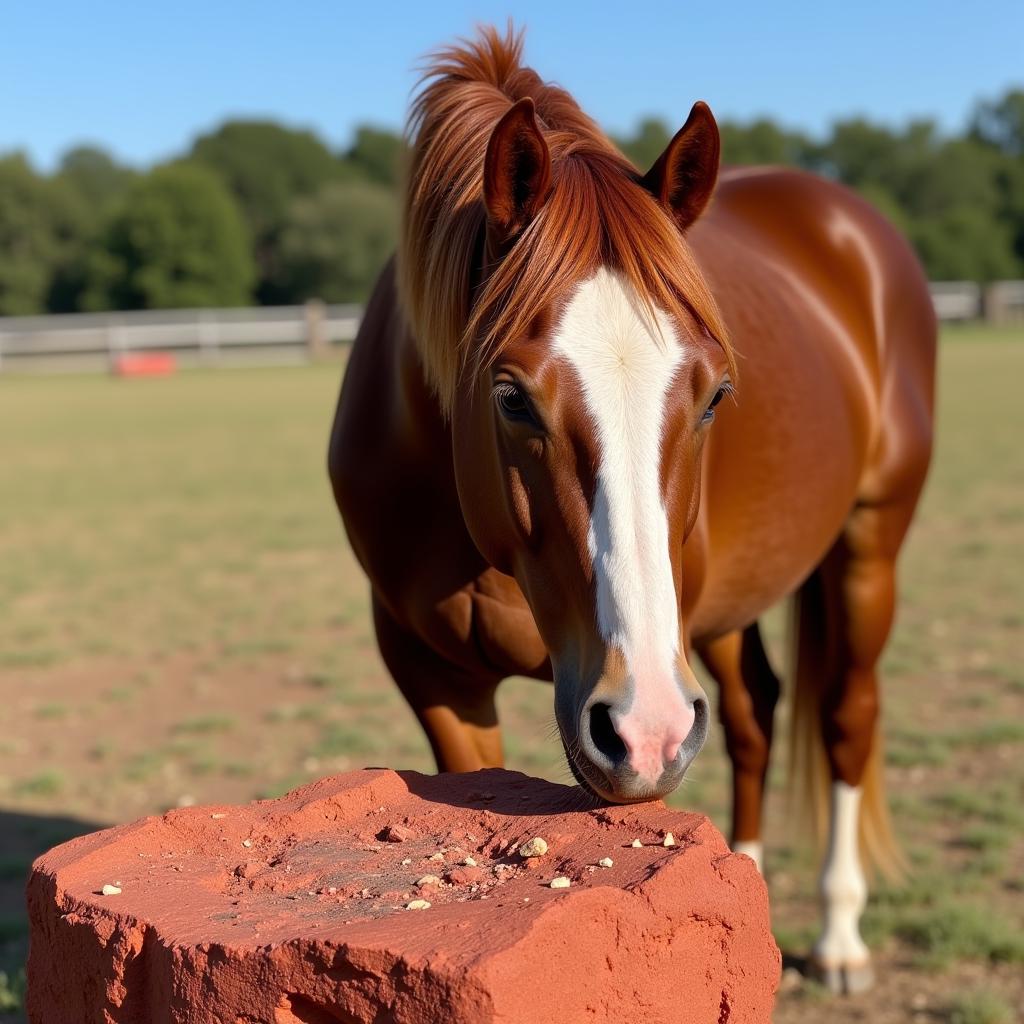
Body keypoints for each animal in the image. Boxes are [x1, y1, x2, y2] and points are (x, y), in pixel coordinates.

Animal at [327, 25, 937, 991]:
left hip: (864, 549)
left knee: (846, 716)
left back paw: (841, 935)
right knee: (756, 712)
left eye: (717, 394)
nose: (645, 728)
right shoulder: (436, 679)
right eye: (511, 399)